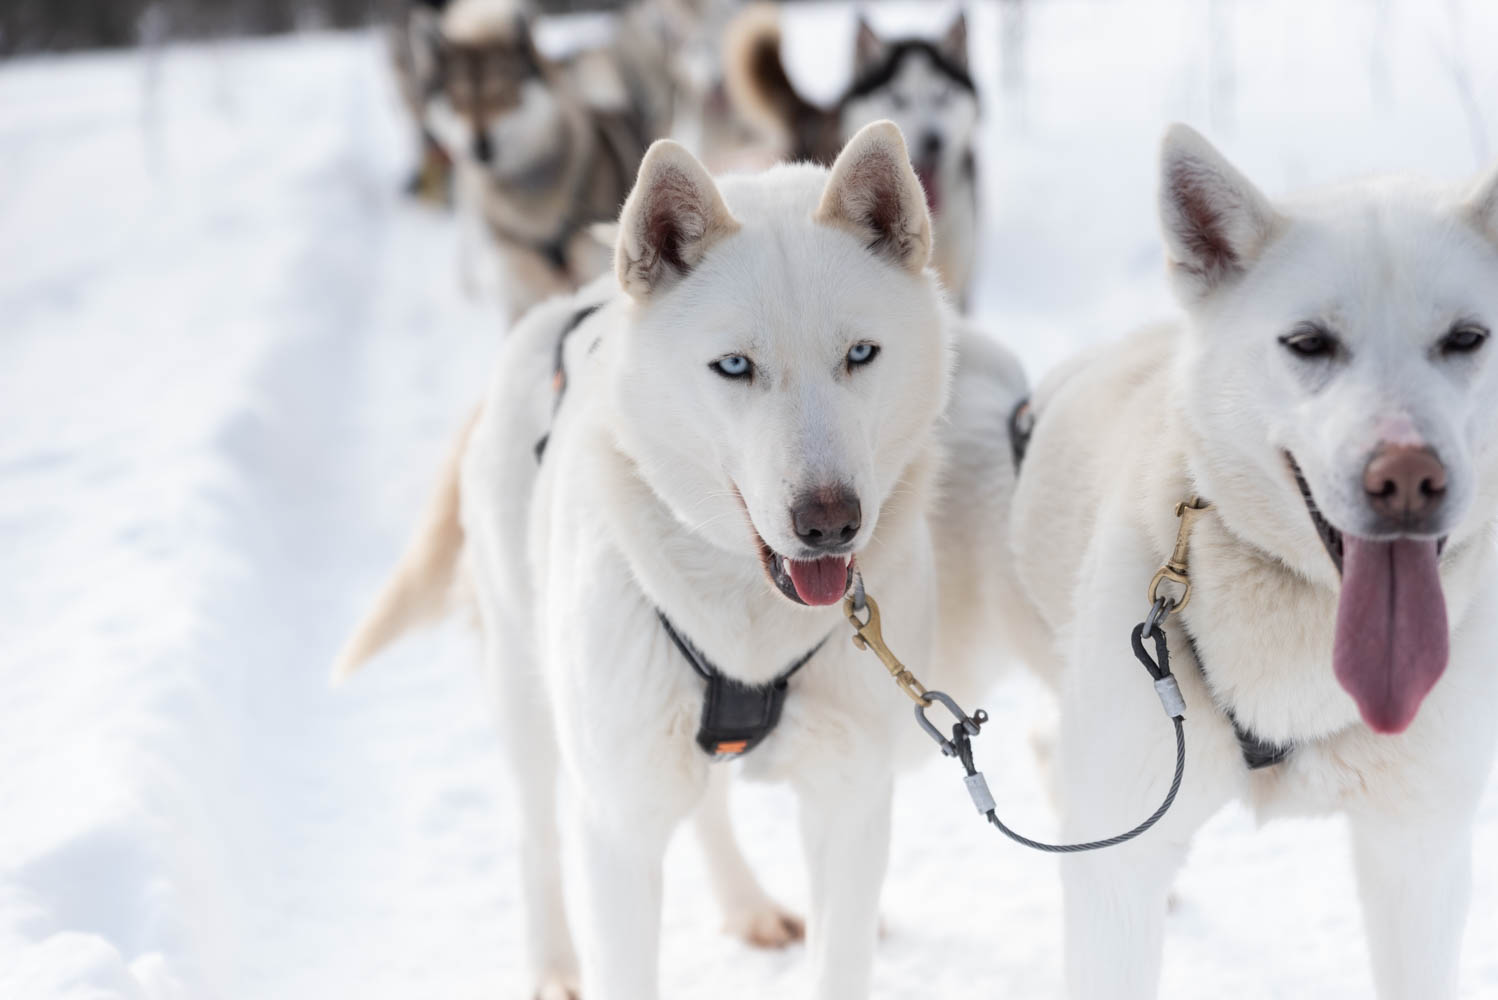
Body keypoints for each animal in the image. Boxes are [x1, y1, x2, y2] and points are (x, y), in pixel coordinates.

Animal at [334, 122, 1024, 999]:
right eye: (734, 365)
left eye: (861, 353)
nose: (830, 524)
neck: (751, 626)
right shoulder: (619, 826)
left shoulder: (849, 804)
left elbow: (838, 954)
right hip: (530, 701)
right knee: (537, 837)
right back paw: (554, 967)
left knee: (707, 809)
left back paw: (747, 906)